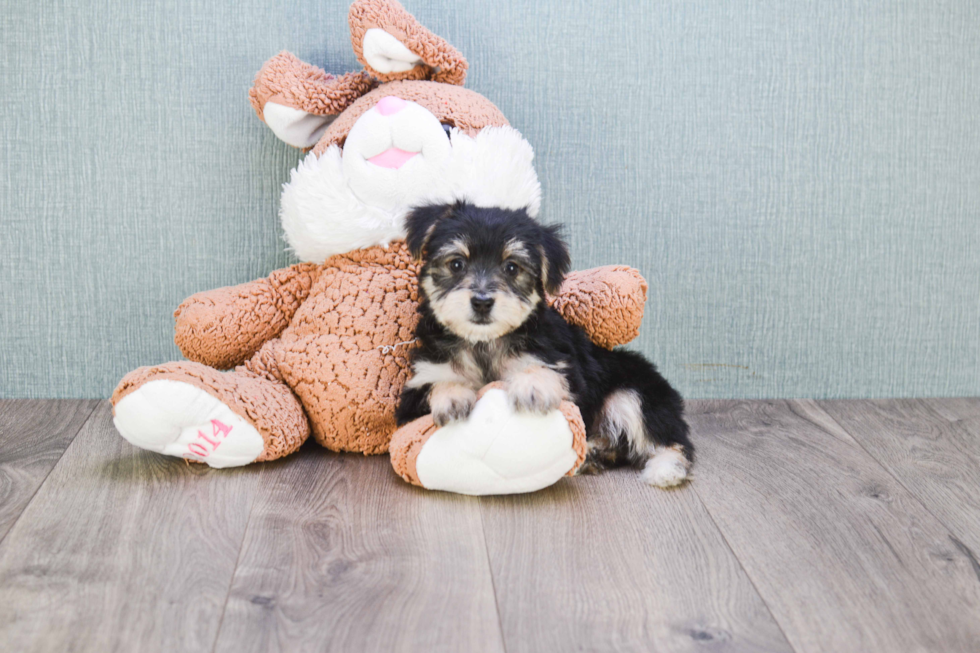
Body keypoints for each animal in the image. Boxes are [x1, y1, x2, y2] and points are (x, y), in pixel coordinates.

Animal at [394, 201, 692, 486]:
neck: (484, 343)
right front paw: (453, 396)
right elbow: (437, 384)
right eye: (456, 264)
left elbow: (543, 369)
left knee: (669, 439)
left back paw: (665, 470)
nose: (482, 301)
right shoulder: (413, 396)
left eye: (511, 267)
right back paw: (594, 452)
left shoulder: (566, 369)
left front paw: (532, 386)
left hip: (634, 392)